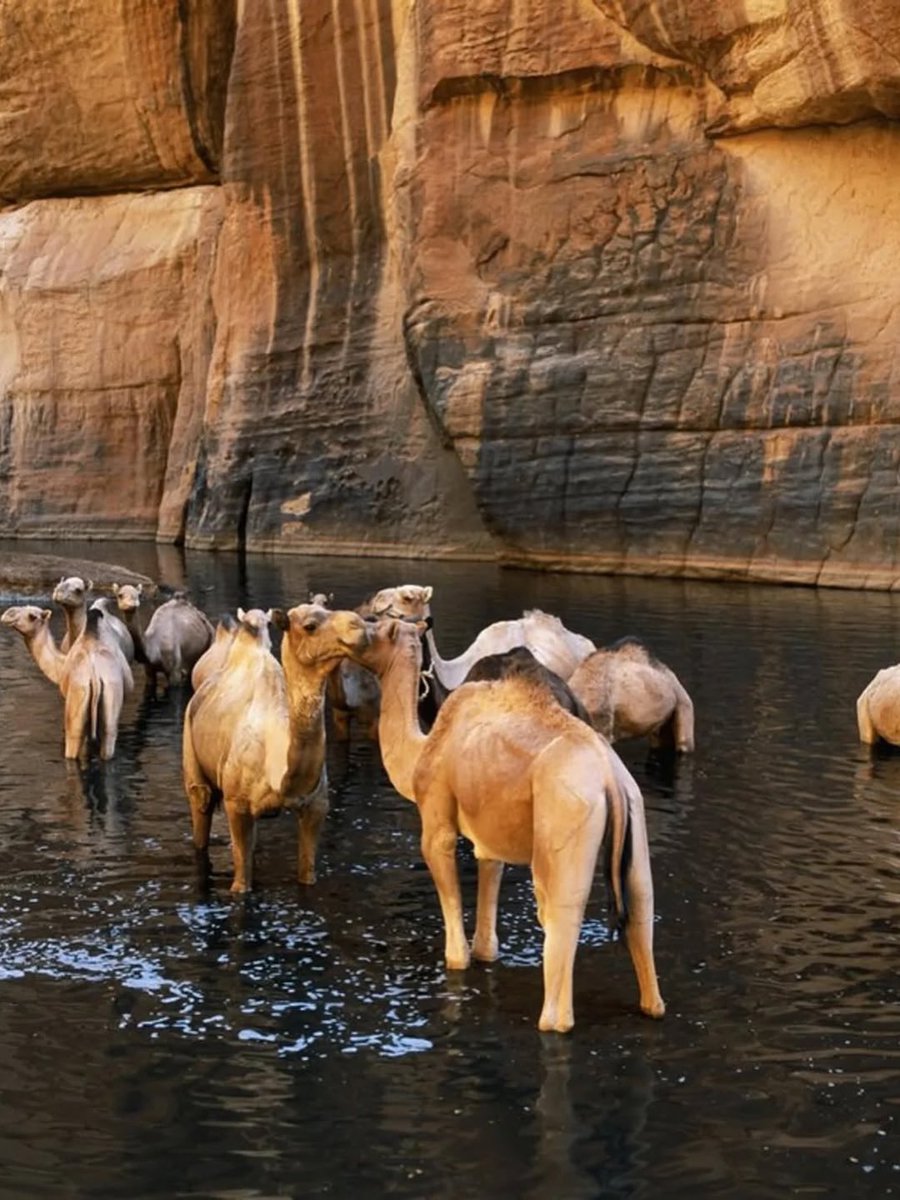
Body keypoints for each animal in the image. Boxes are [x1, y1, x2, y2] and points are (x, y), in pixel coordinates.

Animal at [2, 604, 133, 759]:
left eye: (32, 616)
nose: (7, 614)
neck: (61, 665)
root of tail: (95, 675)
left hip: (76, 702)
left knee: (72, 744)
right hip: (111, 699)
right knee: (108, 739)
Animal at [182, 602, 370, 893]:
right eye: (310, 625)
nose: (359, 626)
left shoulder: (316, 806)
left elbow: (307, 873)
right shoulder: (236, 804)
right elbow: (241, 885)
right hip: (191, 751)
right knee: (200, 801)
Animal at [346, 617, 665, 1033]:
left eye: (377, 626)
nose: (350, 631)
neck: (420, 750)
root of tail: (609, 780)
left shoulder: (436, 817)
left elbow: (457, 946)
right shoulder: (487, 835)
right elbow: (487, 912)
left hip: (564, 822)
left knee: (559, 922)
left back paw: (550, 1021)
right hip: (634, 818)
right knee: (642, 912)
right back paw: (651, 1002)